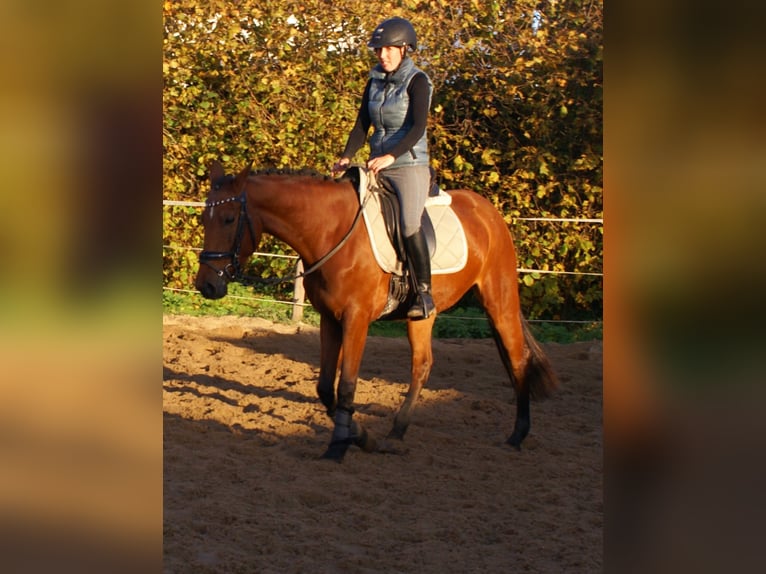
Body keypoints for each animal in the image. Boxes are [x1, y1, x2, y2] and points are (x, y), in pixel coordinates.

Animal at [194, 160, 559, 462]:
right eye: (203, 219)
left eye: (228, 219)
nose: (206, 286)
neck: (331, 233)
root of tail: (488, 211)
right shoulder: (329, 319)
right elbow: (325, 387)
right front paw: (362, 436)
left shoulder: (356, 320)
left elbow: (346, 384)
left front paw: (338, 447)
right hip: (422, 314)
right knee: (422, 365)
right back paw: (397, 432)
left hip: (499, 300)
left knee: (517, 358)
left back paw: (517, 435)